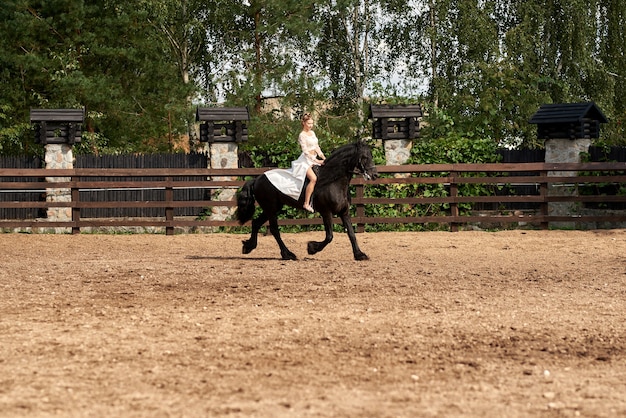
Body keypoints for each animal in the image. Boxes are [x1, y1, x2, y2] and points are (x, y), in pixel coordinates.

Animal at [236, 140, 378, 262]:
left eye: (371, 155)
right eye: (364, 157)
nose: (375, 175)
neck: (333, 182)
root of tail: (257, 179)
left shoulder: (344, 213)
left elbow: (351, 234)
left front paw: (360, 255)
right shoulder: (326, 212)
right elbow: (329, 236)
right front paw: (312, 248)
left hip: (271, 208)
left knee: (256, 223)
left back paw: (248, 247)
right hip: (271, 209)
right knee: (274, 230)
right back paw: (288, 254)